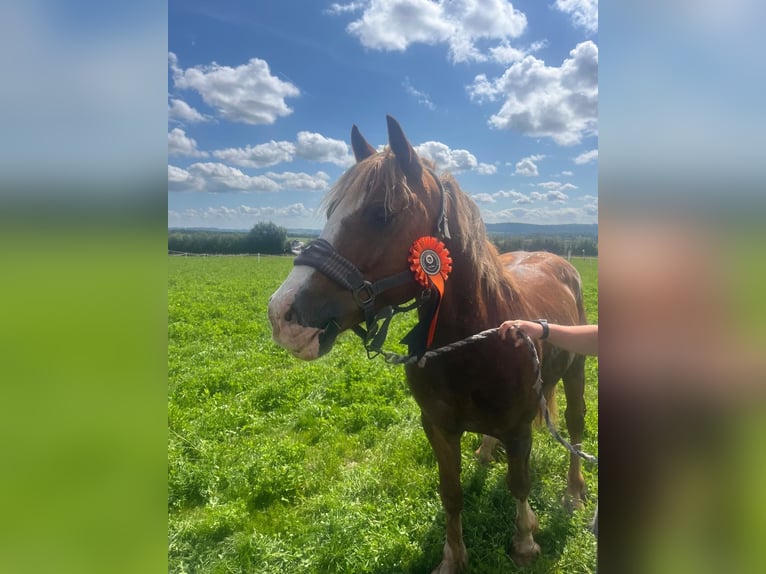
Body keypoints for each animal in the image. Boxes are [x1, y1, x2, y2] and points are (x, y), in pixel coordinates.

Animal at [268, 115, 589, 572]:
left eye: (382, 214)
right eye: (332, 212)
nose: (282, 315)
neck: (474, 348)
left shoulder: (518, 427)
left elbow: (520, 483)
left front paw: (525, 539)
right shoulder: (437, 427)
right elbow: (450, 493)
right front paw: (453, 556)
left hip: (577, 371)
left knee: (576, 427)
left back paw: (574, 492)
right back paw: (486, 451)